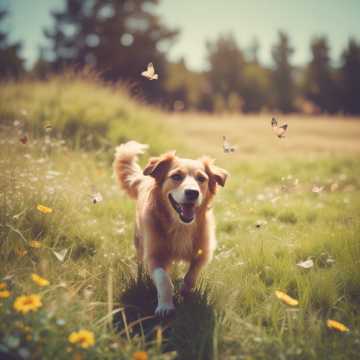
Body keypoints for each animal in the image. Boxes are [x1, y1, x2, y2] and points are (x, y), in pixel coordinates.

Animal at [112, 142, 228, 316]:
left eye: (202, 178)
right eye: (176, 176)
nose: (192, 193)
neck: (180, 225)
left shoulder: (203, 253)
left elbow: (192, 276)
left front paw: (184, 291)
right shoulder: (155, 255)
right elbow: (164, 280)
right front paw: (165, 306)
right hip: (139, 240)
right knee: (141, 260)